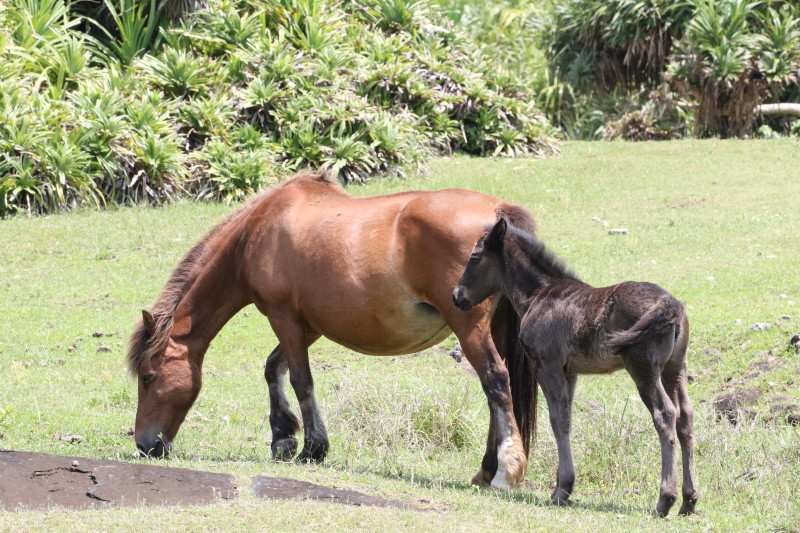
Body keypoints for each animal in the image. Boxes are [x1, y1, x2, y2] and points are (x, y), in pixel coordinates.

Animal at [125, 172, 536, 488]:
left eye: (148, 377)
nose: (145, 445)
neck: (256, 232)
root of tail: (497, 213)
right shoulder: (309, 324)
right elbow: (273, 368)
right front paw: (283, 437)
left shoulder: (283, 316)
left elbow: (301, 380)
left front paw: (311, 447)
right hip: (495, 326)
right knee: (501, 388)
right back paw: (485, 470)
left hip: (469, 327)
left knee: (495, 380)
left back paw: (504, 471)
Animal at [454, 216, 696, 516]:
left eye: (475, 258)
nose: (457, 296)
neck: (537, 294)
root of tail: (671, 305)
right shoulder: (570, 372)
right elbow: (567, 418)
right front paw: (563, 487)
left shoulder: (547, 366)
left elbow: (558, 420)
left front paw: (562, 490)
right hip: (674, 369)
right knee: (685, 417)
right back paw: (689, 500)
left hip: (644, 368)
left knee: (665, 414)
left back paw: (665, 500)